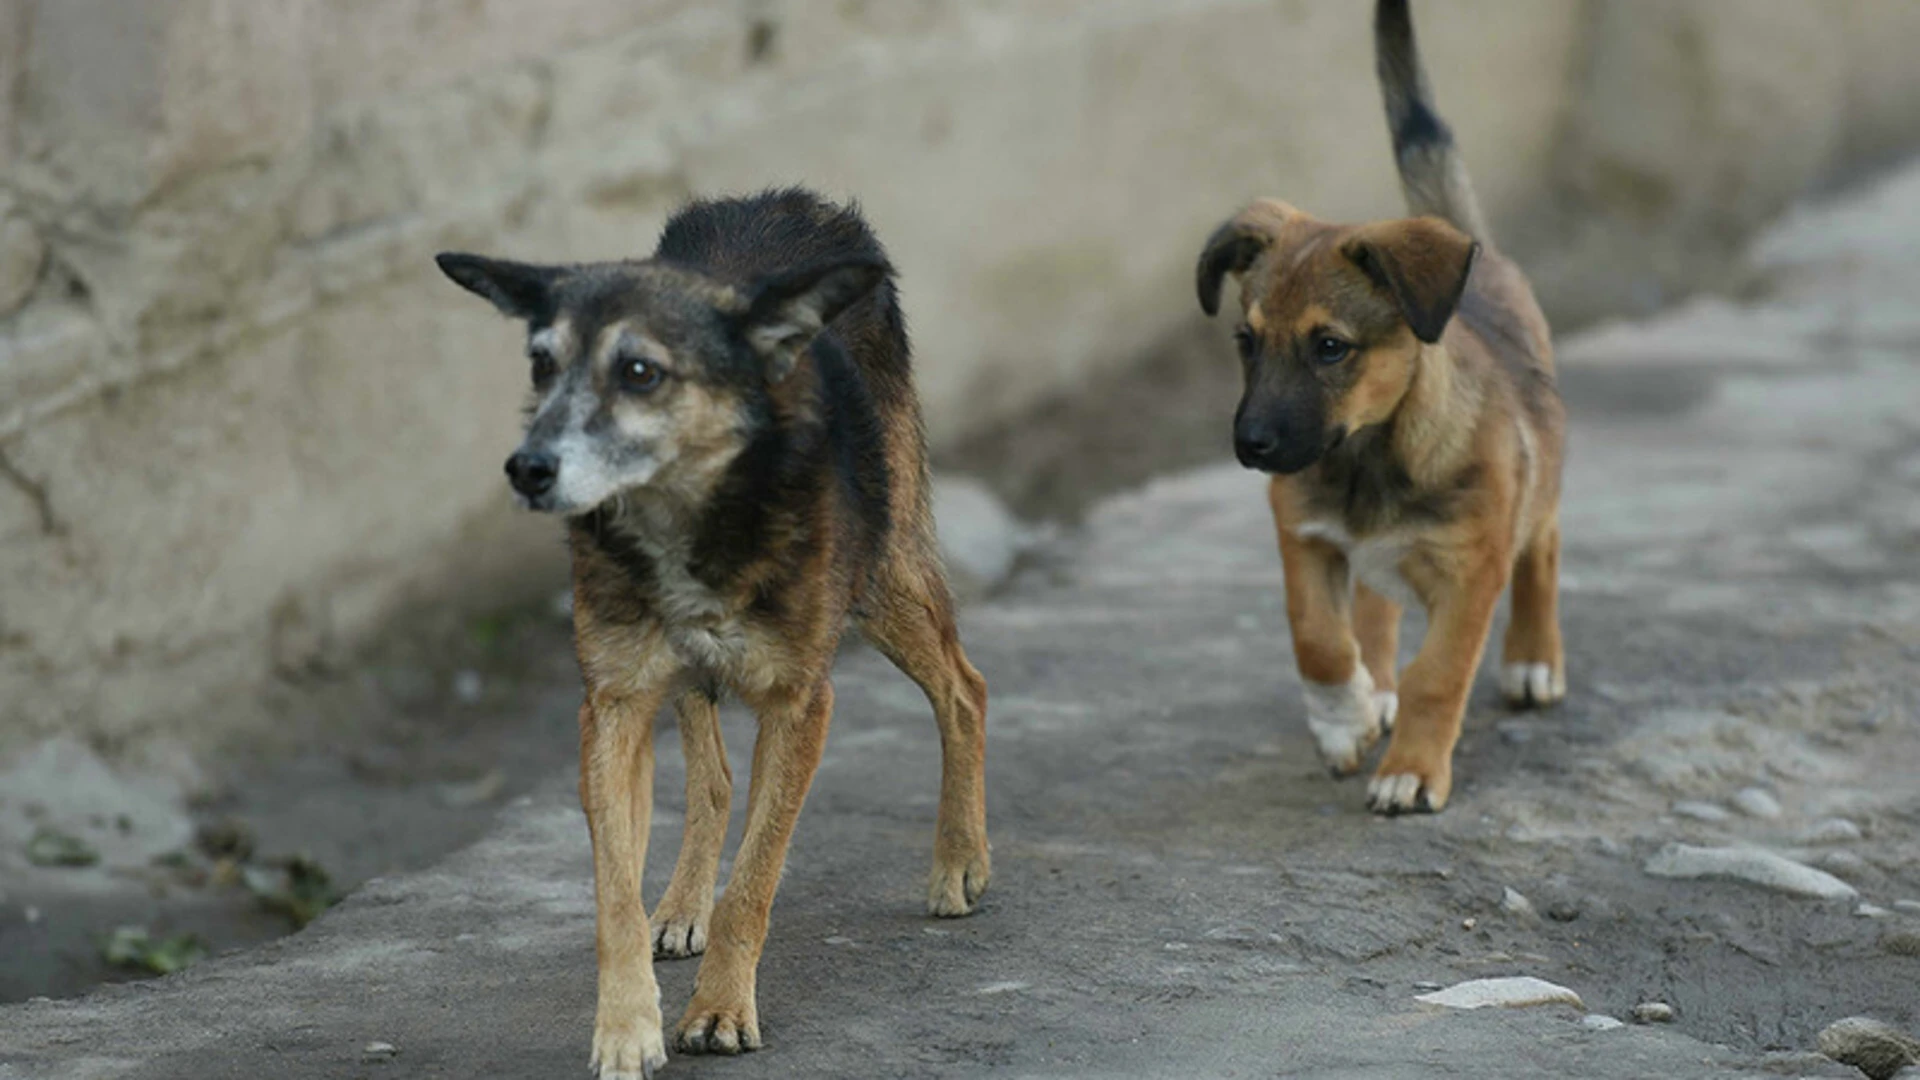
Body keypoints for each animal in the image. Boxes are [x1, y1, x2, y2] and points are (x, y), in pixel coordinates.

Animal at [437, 189, 990, 1068]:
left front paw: (723, 1009)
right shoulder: (615, 704)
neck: (687, 522)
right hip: (694, 673)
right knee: (716, 777)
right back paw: (682, 903)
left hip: (882, 576)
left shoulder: (801, 701)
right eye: (541, 365)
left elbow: (755, 882)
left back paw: (961, 861)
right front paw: (627, 1028)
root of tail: (794, 201)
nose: (527, 469)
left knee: (965, 688)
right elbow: (615, 896)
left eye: (640, 371)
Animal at [1190, 0, 1566, 807]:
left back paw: (1533, 658)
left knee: (1542, 551)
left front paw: (1411, 772)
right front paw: (1344, 718)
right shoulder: (1305, 538)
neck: (1369, 457)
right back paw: (1375, 689)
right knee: (1374, 610)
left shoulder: (1471, 572)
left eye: (1331, 347)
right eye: (1246, 341)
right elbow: (1320, 639)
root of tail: (1478, 251)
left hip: (1541, 487)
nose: (1250, 445)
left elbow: (1440, 676)